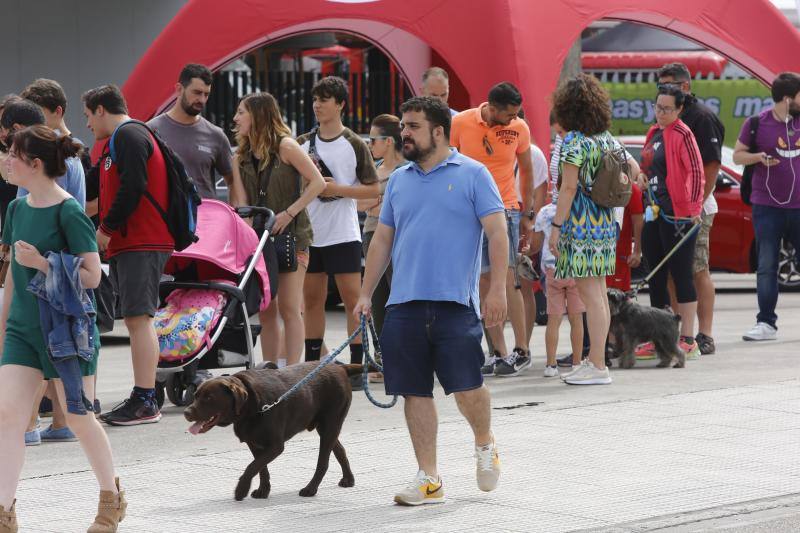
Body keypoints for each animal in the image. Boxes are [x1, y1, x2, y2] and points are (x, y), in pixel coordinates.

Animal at [183, 362, 360, 498]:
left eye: (209, 397)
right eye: (196, 395)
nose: (186, 412)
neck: (251, 409)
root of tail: (340, 367)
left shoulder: (275, 446)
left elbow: (252, 467)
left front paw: (241, 490)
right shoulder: (254, 444)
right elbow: (261, 469)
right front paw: (263, 490)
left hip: (330, 424)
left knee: (323, 463)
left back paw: (310, 489)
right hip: (325, 428)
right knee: (340, 450)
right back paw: (348, 479)